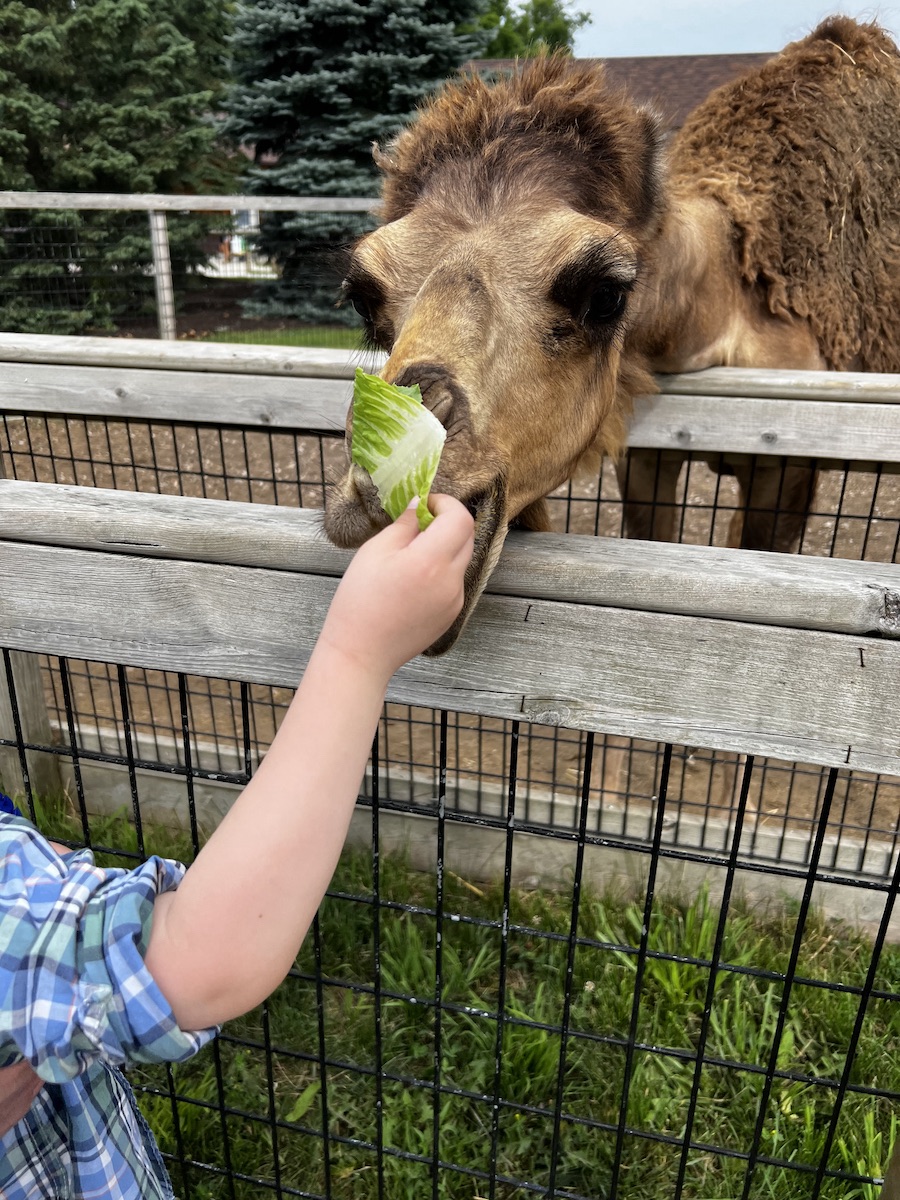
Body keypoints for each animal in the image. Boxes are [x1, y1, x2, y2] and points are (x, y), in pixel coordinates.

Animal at [324, 16, 900, 657]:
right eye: (364, 297)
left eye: (604, 294)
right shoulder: (646, 449)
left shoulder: (788, 468)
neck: (723, 308)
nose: (376, 493)